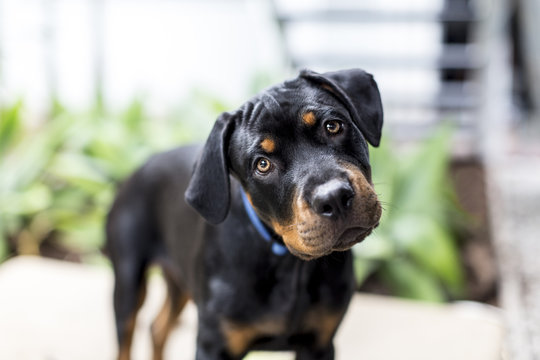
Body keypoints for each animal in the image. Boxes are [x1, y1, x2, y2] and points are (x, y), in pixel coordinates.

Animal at [106, 68, 384, 360]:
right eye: (262, 164)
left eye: (333, 126)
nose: (334, 197)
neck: (289, 263)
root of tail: (138, 168)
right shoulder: (214, 344)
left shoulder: (319, 343)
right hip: (128, 279)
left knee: (157, 327)